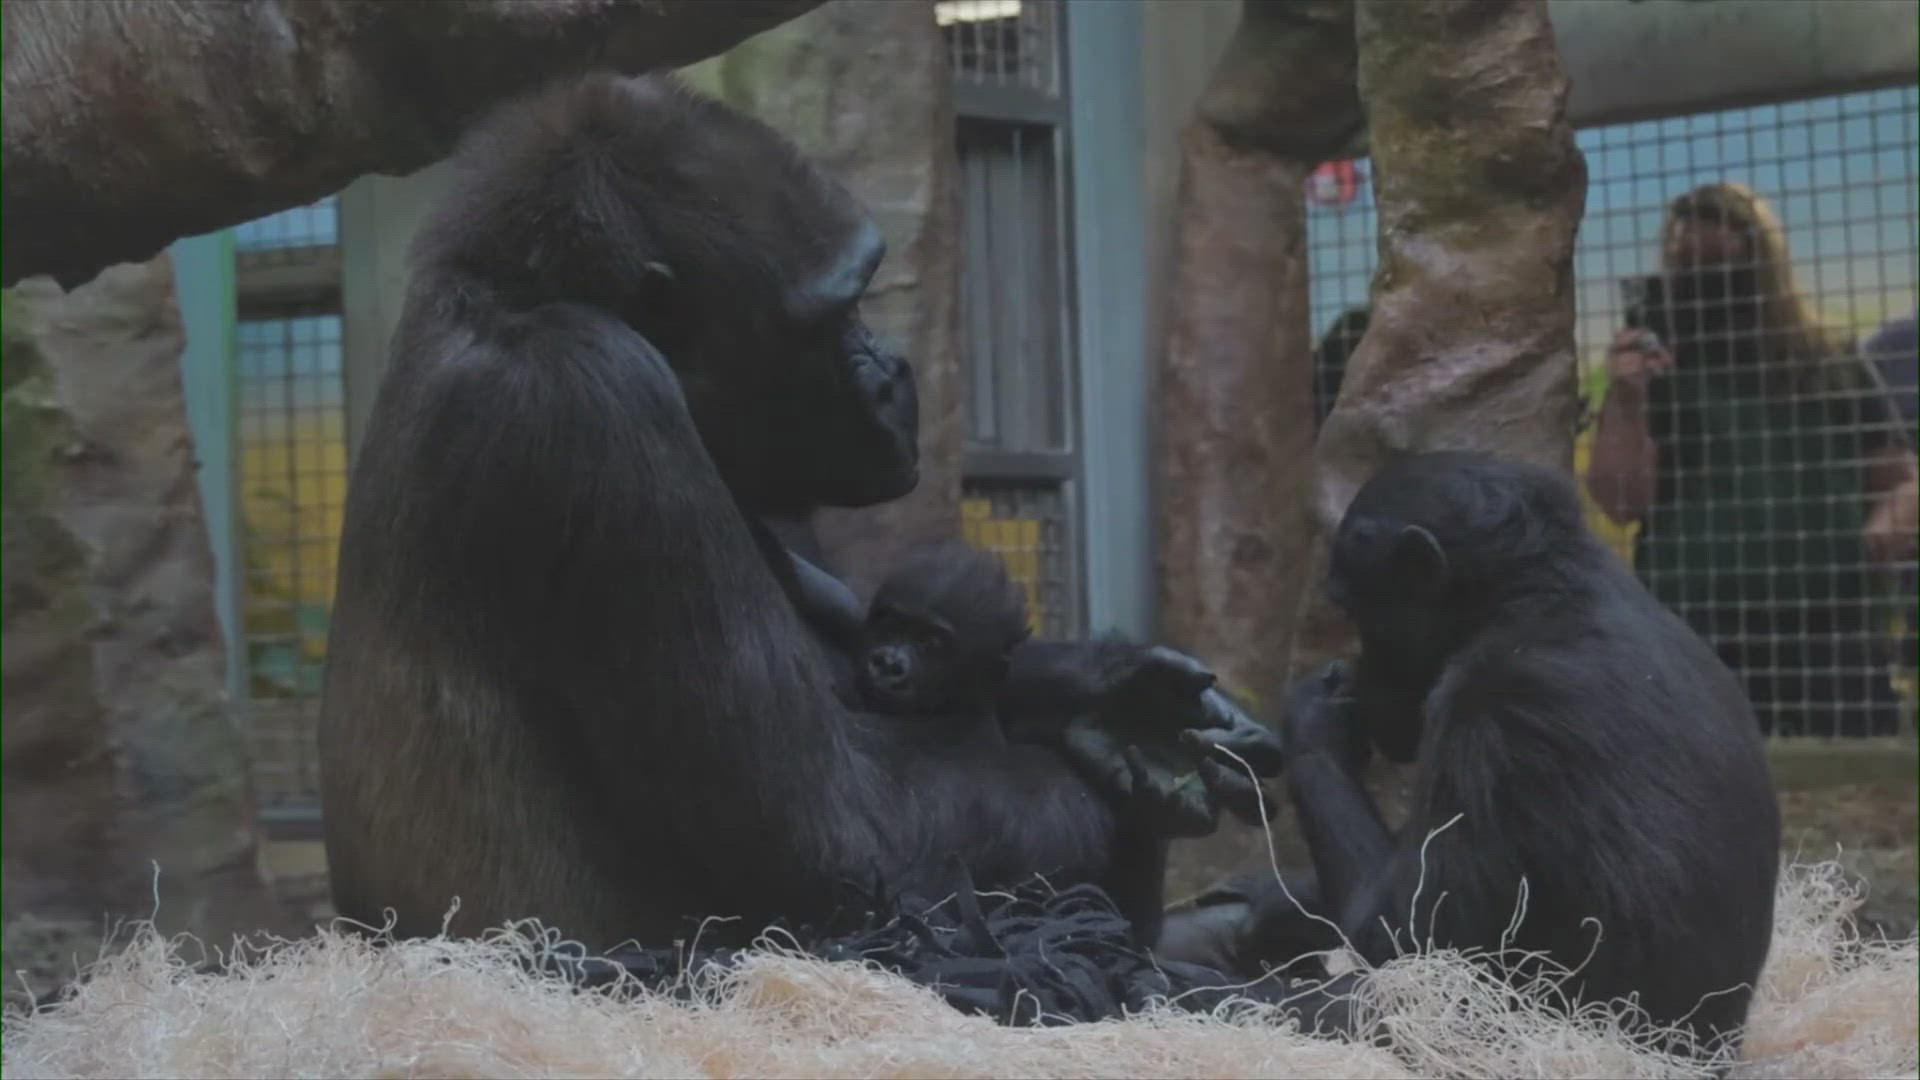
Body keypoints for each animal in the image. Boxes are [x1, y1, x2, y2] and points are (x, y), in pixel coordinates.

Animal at [1167, 449, 1781, 1053]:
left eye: (1356, 610)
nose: (1359, 671)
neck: (1524, 601)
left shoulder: (1490, 717)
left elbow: (1406, 933)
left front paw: (1315, 721)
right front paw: (1277, 900)